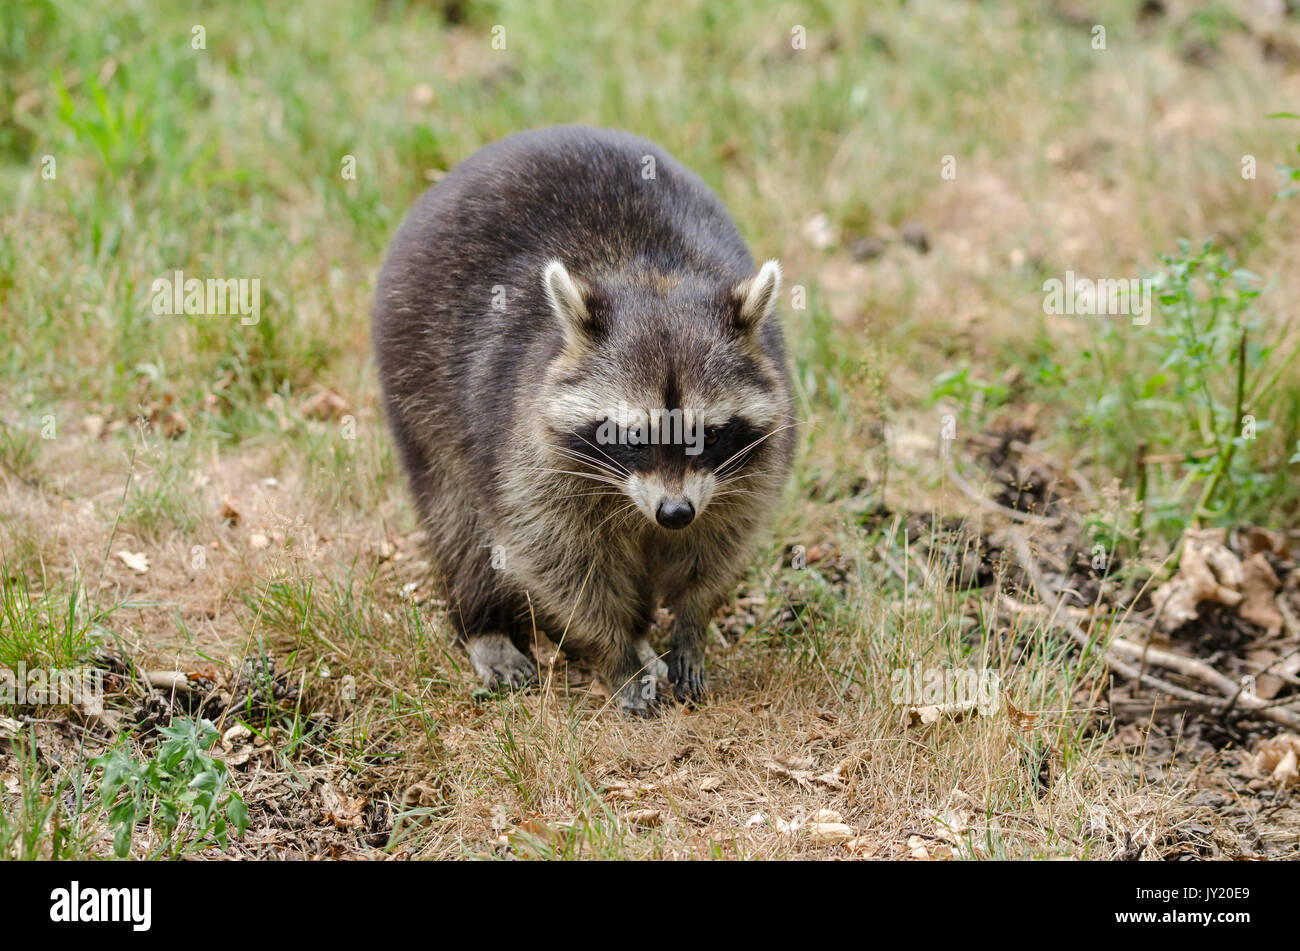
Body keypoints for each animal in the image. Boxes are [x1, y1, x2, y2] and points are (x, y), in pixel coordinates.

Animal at [366, 124, 790, 711]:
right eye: (633, 435)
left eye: (706, 435)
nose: (674, 514)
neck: (651, 274)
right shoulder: (526, 454)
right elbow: (561, 562)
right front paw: (616, 652)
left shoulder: (748, 464)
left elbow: (720, 541)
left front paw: (691, 621)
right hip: (414, 378)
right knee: (459, 520)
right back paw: (485, 624)